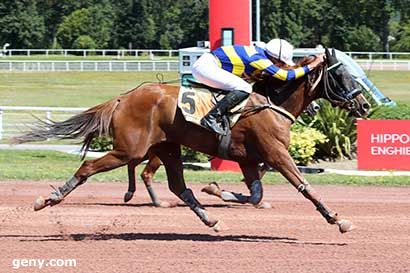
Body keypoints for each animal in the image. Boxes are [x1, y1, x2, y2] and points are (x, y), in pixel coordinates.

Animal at [13, 49, 372, 232]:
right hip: (130, 148)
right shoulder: (276, 154)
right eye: (342, 74)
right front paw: (337, 219)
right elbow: (304, 186)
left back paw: (209, 218)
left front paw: (214, 189)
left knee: (177, 186)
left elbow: (255, 195)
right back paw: (48, 199)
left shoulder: (249, 160)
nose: (365, 105)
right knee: (88, 168)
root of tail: (123, 98)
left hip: (167, 148)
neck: (270, 102)